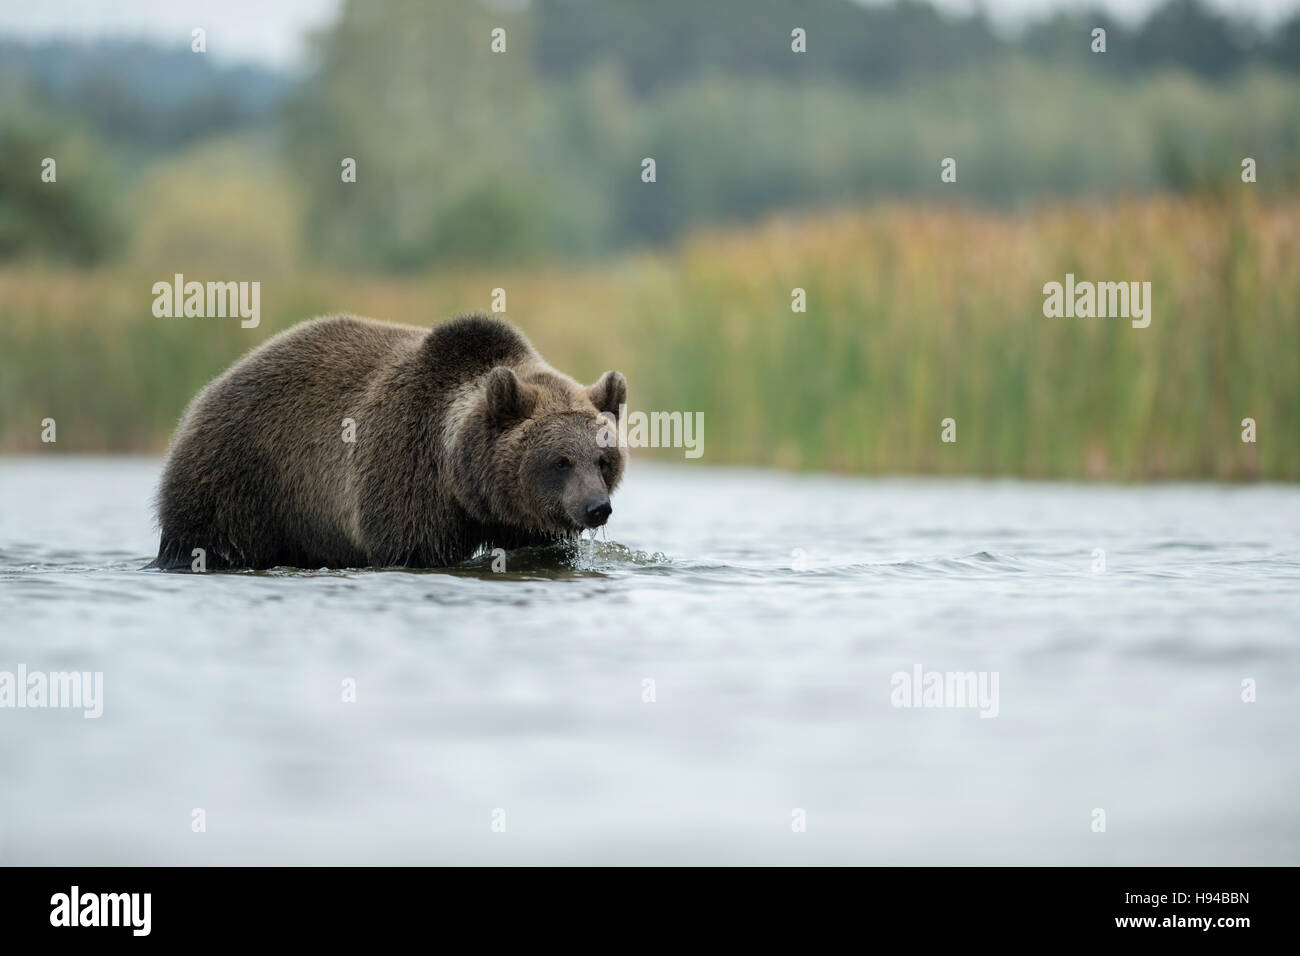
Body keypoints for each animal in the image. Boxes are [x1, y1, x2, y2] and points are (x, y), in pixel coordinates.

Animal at [147, 312, 624, 567]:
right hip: (240, 476)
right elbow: (410, 546)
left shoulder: (525, 521)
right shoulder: (405, 472)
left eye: (603, 460)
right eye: (561, 460)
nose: (596, 507)